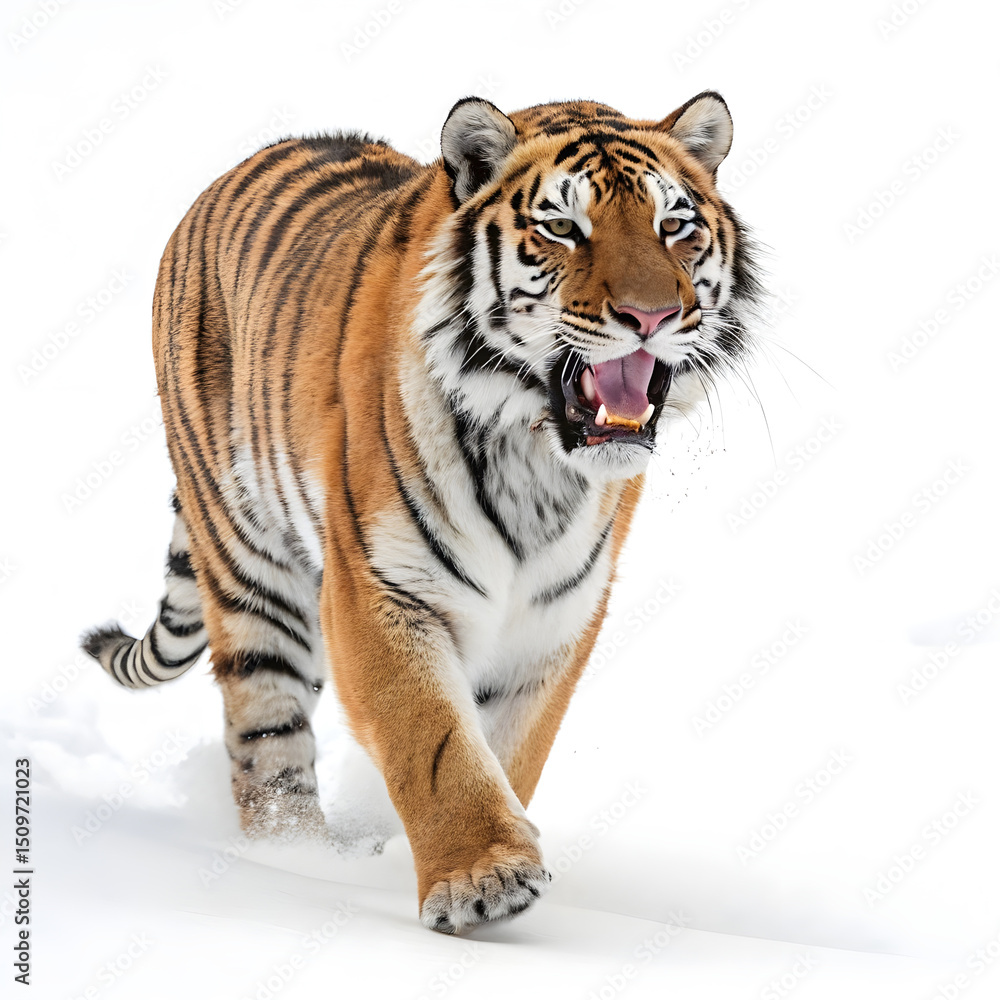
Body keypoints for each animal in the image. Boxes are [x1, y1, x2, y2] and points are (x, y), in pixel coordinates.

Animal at [82, 91, 763, 934]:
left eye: (674, 225)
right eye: (563, 228)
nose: (653, 316)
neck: (536, 457)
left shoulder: (554, 619)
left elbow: (504, 749)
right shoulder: (380, 590)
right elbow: (433, 742)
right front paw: (484, 877)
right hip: (251, 576)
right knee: (266, 745)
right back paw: (293, 861)